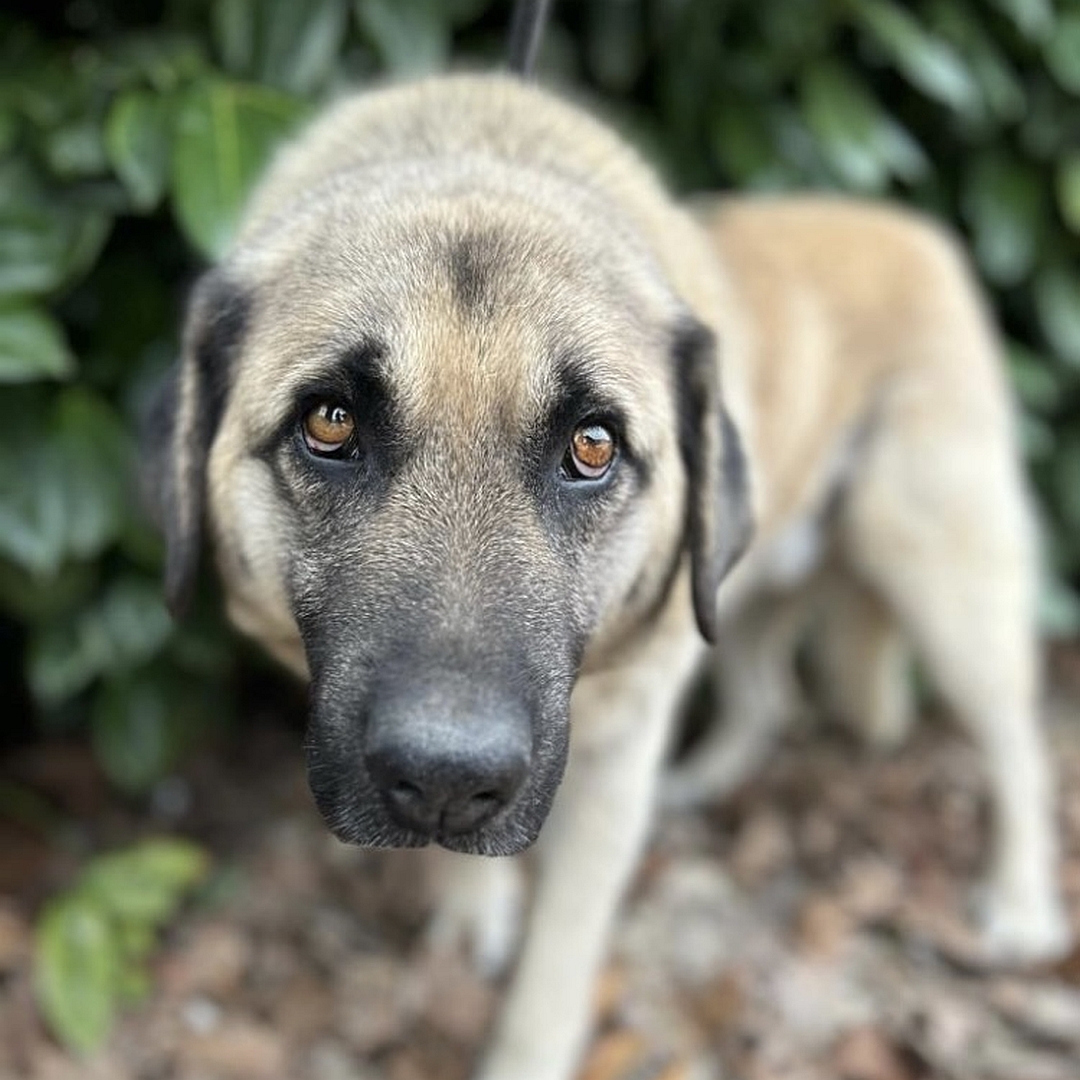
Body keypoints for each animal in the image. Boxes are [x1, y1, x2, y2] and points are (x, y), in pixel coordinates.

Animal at [145, 56, 1071, 1080]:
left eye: (593, 447)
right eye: (330, 422)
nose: (444, 781)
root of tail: (915, 229)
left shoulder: (610, 768)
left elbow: (559, 963)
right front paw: (471, 909)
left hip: (945, 584)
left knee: (1017, 742)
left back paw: (1021, 905)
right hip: (748, 592)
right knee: (768, 696)